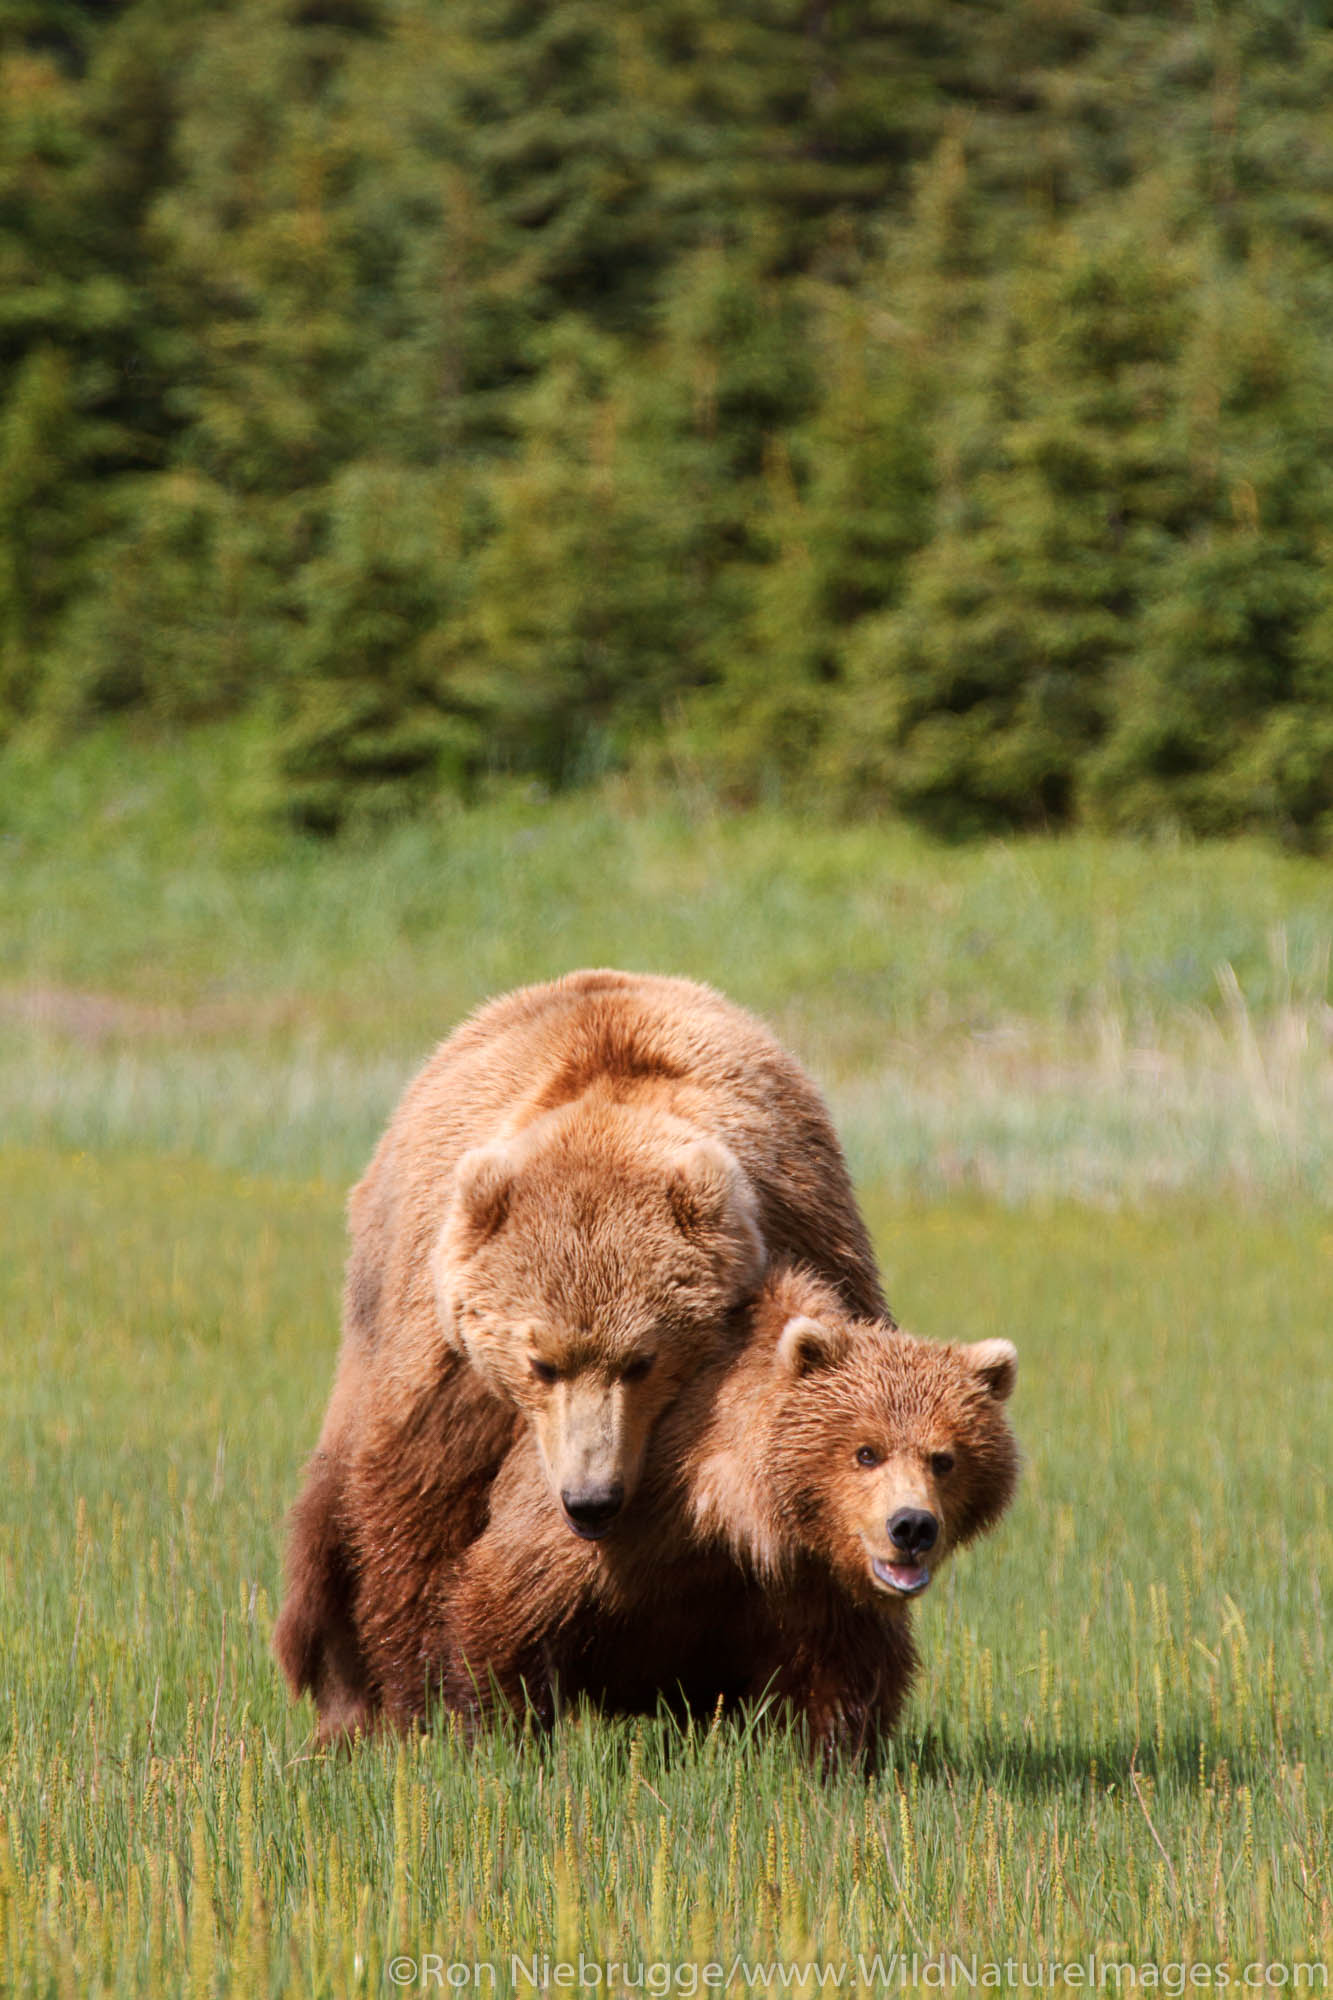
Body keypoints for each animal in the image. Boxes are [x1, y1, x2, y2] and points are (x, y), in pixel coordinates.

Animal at [272, 968, 880, 1736]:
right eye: (541, 1363)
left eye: (643, 1359)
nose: (591, 1499)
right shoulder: (450, 1366)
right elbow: (421, 1506)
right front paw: (426, 1702)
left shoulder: (801, 1242)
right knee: (327, 1543)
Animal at [430, 1264, 1012, 1752]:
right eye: (866, 1452)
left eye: (944, 1459)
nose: (911, 1526)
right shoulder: (612, 1514)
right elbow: (513, 1605)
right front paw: (502, 1738)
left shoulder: (815, 1586)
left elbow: (844, 1676)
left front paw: (832, 1760)